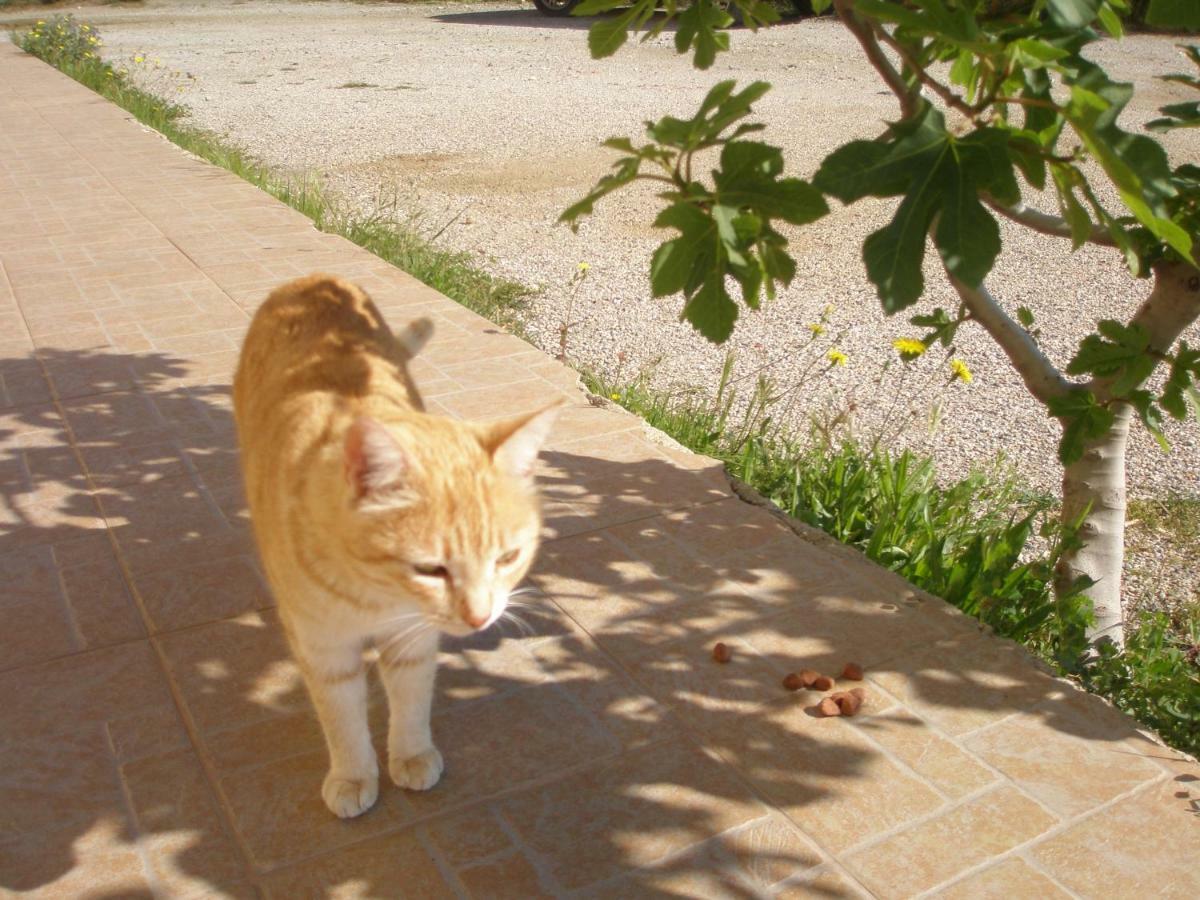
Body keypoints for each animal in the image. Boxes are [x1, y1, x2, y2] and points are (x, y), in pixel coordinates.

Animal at [234, 273, 561, 816]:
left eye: (508, 558)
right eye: (431, 570)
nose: (480, 618)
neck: (375, 595)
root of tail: (313, 279)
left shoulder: (412, 640)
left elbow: (411, 700)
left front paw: (410, 754)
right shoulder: (323, 648)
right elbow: (341, 717)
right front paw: (353, 775)